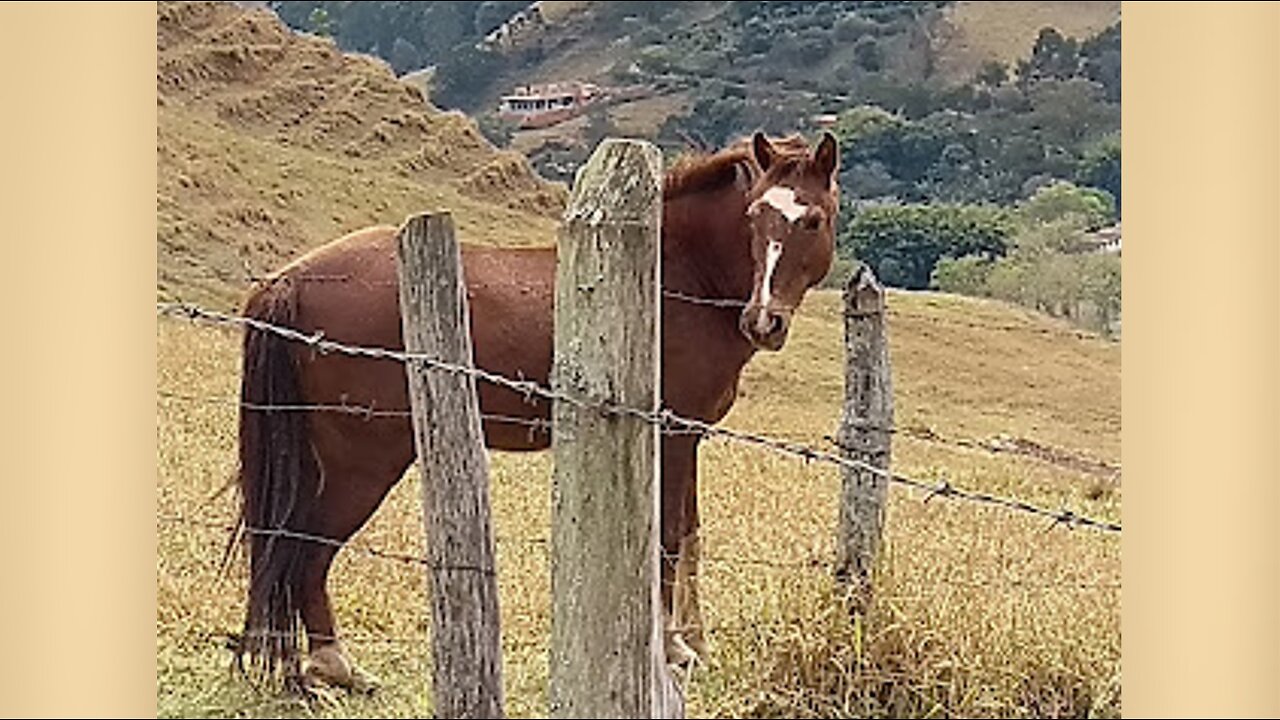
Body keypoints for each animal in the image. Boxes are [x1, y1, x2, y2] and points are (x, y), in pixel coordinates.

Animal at [236, 130, 844, 691]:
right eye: (755, 216)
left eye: (811, 220)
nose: (763, 321)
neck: (678, 275)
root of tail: (290, 280)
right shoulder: (670, 438)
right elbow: (669, 542)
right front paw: (673, 651)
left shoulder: (686, 439)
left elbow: (691, 539)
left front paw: (693, 643)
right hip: (361, 463)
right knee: (306, 550)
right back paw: (335, 665)